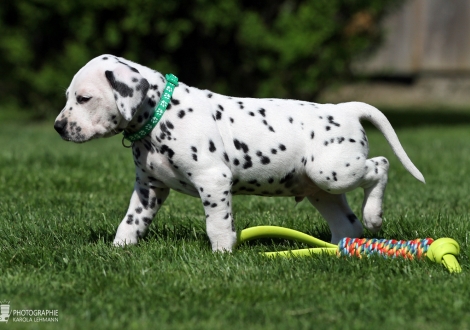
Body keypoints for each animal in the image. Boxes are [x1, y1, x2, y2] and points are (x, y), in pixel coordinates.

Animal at [53, 54, 424, 250]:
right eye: (69, 96)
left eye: (84, 98)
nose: (58, 127)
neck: (161, 113)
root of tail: (345, 108)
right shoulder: (149, 188)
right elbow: (131, 221)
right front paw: (120, 249)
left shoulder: (213, 180)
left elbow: (217, 223)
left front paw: (222, 252)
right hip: (320, 188)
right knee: (348, 224)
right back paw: (335, 246)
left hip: (334, 172)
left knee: (380, 165)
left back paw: (374, 214)